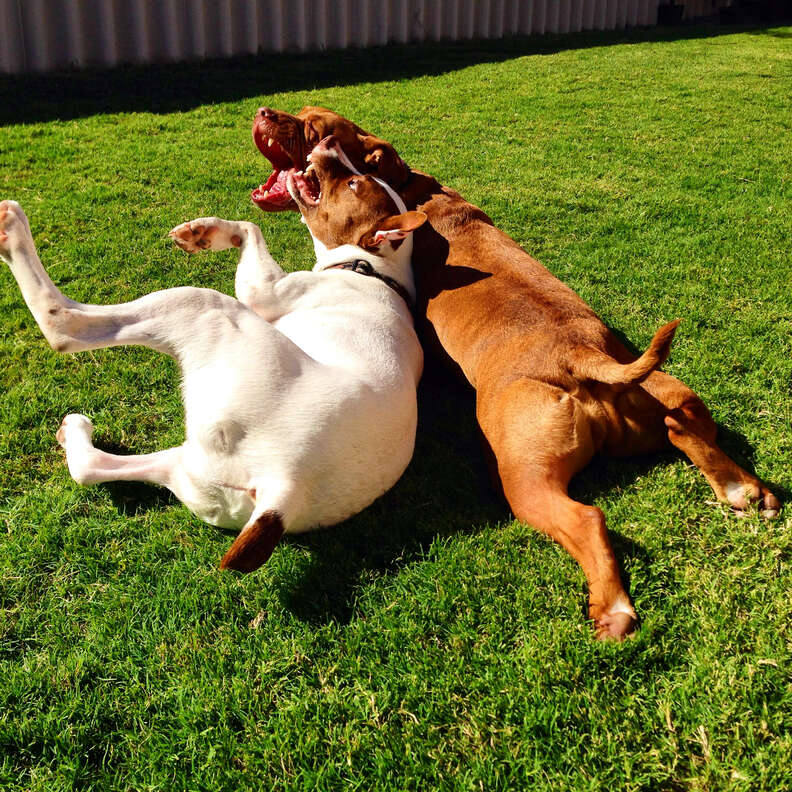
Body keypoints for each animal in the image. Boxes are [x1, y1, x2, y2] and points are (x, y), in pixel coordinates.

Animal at [0, 136, 426, 568]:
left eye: (355, 184)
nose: (329, 141)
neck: (376, 270)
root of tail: (285, 490)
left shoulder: (264, 292)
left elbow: (254, 229)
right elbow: (251, 226)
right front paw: (205, 231)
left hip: (203, 309)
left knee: (64, 324)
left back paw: (12, 230)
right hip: (190, 470)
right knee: (90, 467)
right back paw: (75, 432)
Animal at [252, 106, 780, 636]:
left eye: (316, 129)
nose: (266, 113)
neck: (405, 188)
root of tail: (580, 353)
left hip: (523, 477)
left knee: (586, 518)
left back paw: (613, 607)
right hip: (668, 394)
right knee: (683, 424)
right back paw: (743, 490)